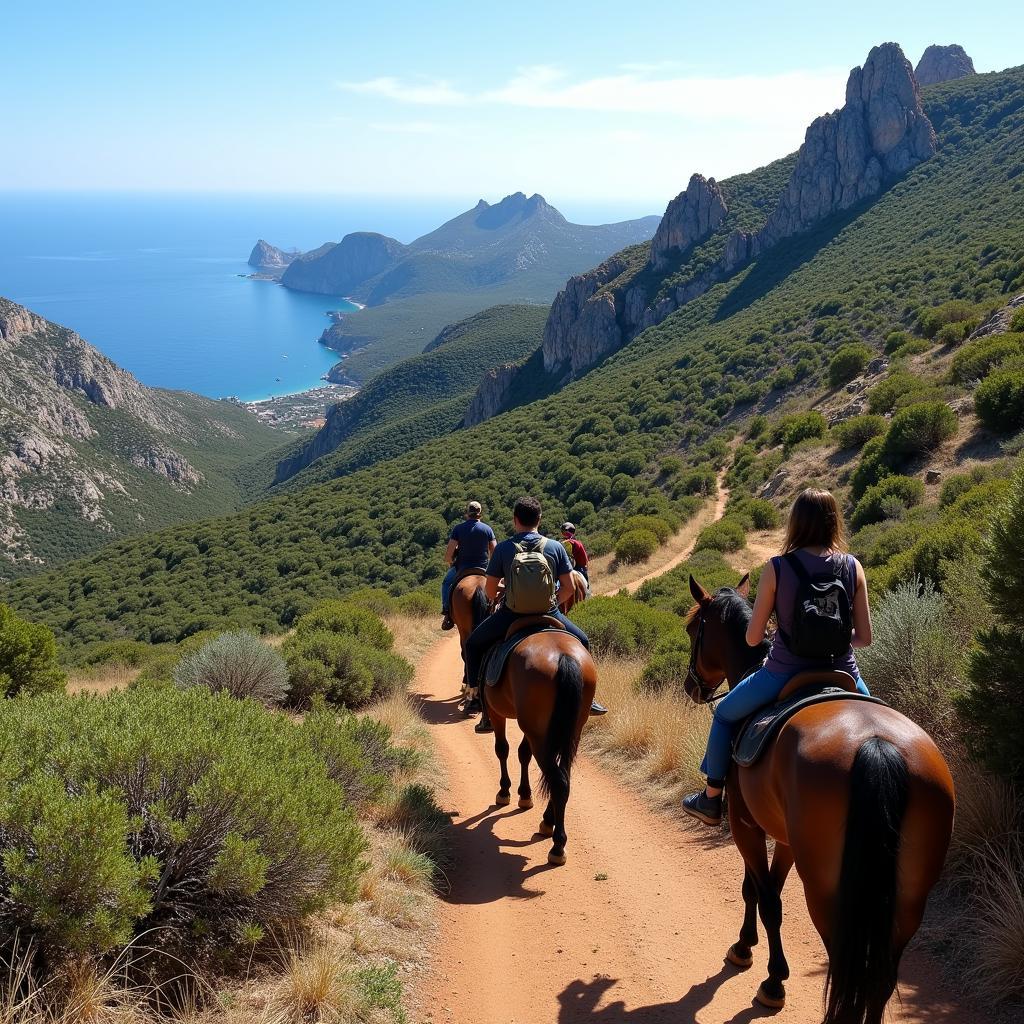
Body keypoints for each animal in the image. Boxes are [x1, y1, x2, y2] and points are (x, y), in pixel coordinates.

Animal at [481, 618, 598, 868]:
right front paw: (525, 795)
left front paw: (504, 791)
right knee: (564, 777)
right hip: (570, 733)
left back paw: (557, 846)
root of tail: (564, 657)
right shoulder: (531, 728)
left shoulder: (497, 713)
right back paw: (548, 822)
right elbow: (522, 753)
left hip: (539, 735)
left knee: (558, 781)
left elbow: (502, 749)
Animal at [684, 577, 954, 1024]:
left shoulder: (745, 824)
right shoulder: (785, 837)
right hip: (909, 896)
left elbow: (762, 895)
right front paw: (750, 950)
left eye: (693, 630)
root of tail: (877, 745)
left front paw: (766, 973)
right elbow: (764, 889)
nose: (691, 686)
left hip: (828, 887)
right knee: (880, 977)